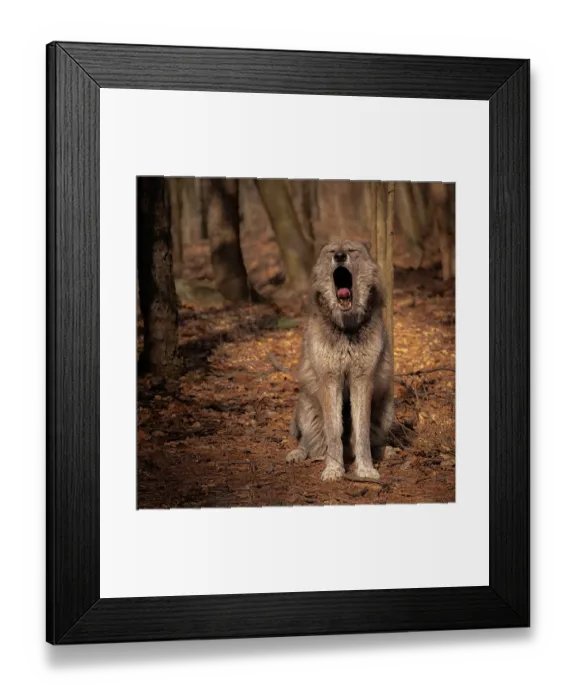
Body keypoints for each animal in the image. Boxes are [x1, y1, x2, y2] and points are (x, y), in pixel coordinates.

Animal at [286, 240, 394, 482]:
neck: (346, 329)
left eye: (352, 250)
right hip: (306, 409)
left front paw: (366, 470)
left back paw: (388, 450)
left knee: (372, 442)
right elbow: (334, 432)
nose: (340, 256)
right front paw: (334, 470)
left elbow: (362, 434)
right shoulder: (330, 380)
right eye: (331, 252)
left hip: (387, 410)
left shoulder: (362, 380)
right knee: (308, 444)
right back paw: (298, 454)